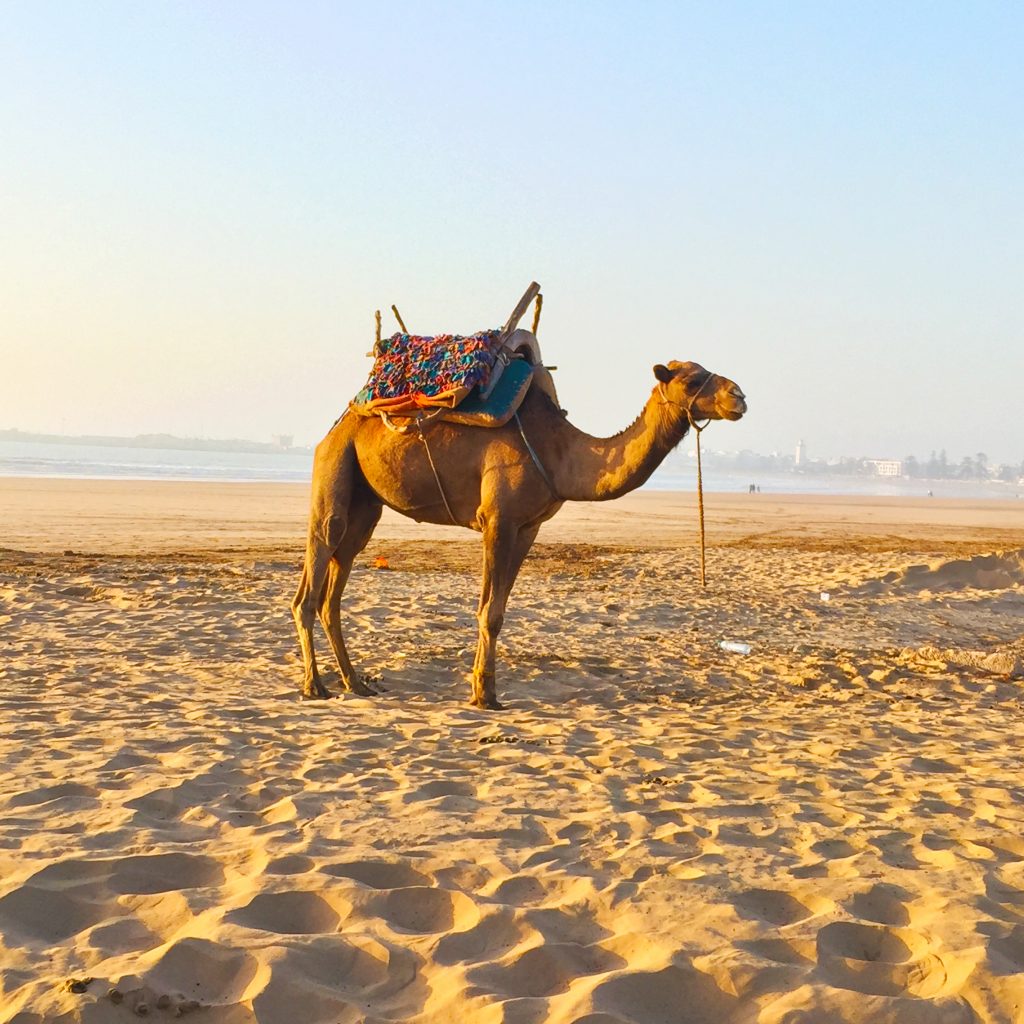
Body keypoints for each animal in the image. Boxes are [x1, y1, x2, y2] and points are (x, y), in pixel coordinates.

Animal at [292, 356, 749, 708]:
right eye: (691, 379)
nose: (739, 396)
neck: (560, 454)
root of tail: (337, 426)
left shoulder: (528, 527)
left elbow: (498, 609)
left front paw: (484, 689)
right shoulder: (498, 519)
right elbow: (489, 613)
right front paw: (485, 695)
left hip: (365, 502)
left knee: (336, 582)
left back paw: (356, 682)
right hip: (335, 467)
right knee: (313, 575)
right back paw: (315, 686)